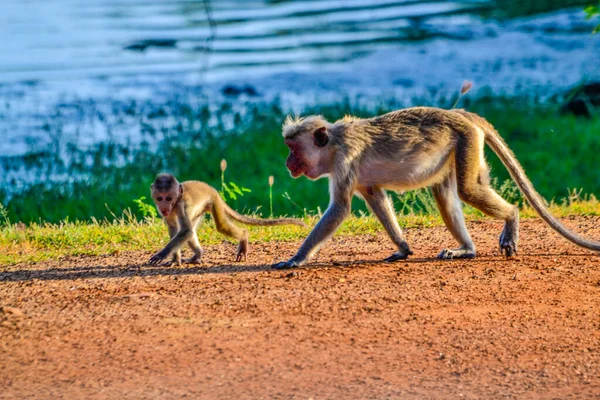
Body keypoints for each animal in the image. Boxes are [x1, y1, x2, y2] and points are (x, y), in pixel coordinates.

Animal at [148, 172, 308, 266]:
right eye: (159, 198)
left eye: (169, 198)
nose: (164, 206)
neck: (174, 205)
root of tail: (211, 189)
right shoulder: (166, 212)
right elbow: (176, 230)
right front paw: (175, 260)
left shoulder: (180, 205)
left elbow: (185, 231)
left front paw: (162, 254)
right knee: (191, 231)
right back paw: (198, 256)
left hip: (213, 201)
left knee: (220, 226)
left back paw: (243, 237)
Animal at [274, 107, 600, 268]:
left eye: (293, 148)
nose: (287, 163)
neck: (335, 143)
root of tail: (462, 113)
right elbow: (375, 197)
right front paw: (403, 248)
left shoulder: (344, 161)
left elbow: (341, 208)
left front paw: (297, 258)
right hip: (465, 147)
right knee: (448, 192)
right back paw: (467, 250)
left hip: (466, 138)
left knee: (467, 190)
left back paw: (511, 217)